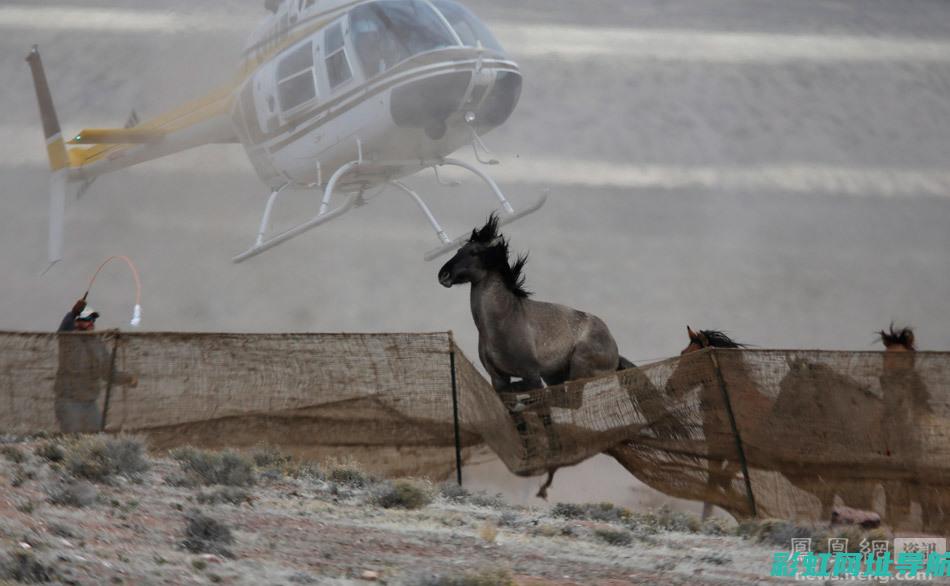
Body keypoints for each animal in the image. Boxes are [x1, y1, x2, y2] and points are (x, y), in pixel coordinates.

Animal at [440, 212, 636, 496]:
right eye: (458, 249)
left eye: (474, 252)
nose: (443, 274)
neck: (503, 321)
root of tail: (614, 349)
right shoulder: (498, 378)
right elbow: (516, 417)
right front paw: (530, 452)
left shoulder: (531, 374)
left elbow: (537, 406)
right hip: (556, 374)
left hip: (578, 370)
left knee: (564, 400)